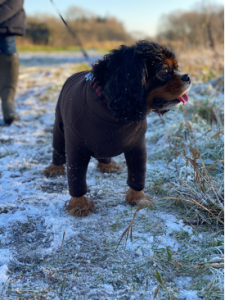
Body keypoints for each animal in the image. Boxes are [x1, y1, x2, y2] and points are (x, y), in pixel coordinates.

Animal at [42, 41, 190, 217]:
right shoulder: (76, 148)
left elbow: (137, 174)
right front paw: (79, 205)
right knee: (58, 148)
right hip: (59, 127)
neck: (114, 111)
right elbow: (76, 178)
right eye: (165, 71)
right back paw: (55, 168)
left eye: (177, 67)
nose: (188, 77)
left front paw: (138, 198)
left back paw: (108, 165)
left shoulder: (137, 147)